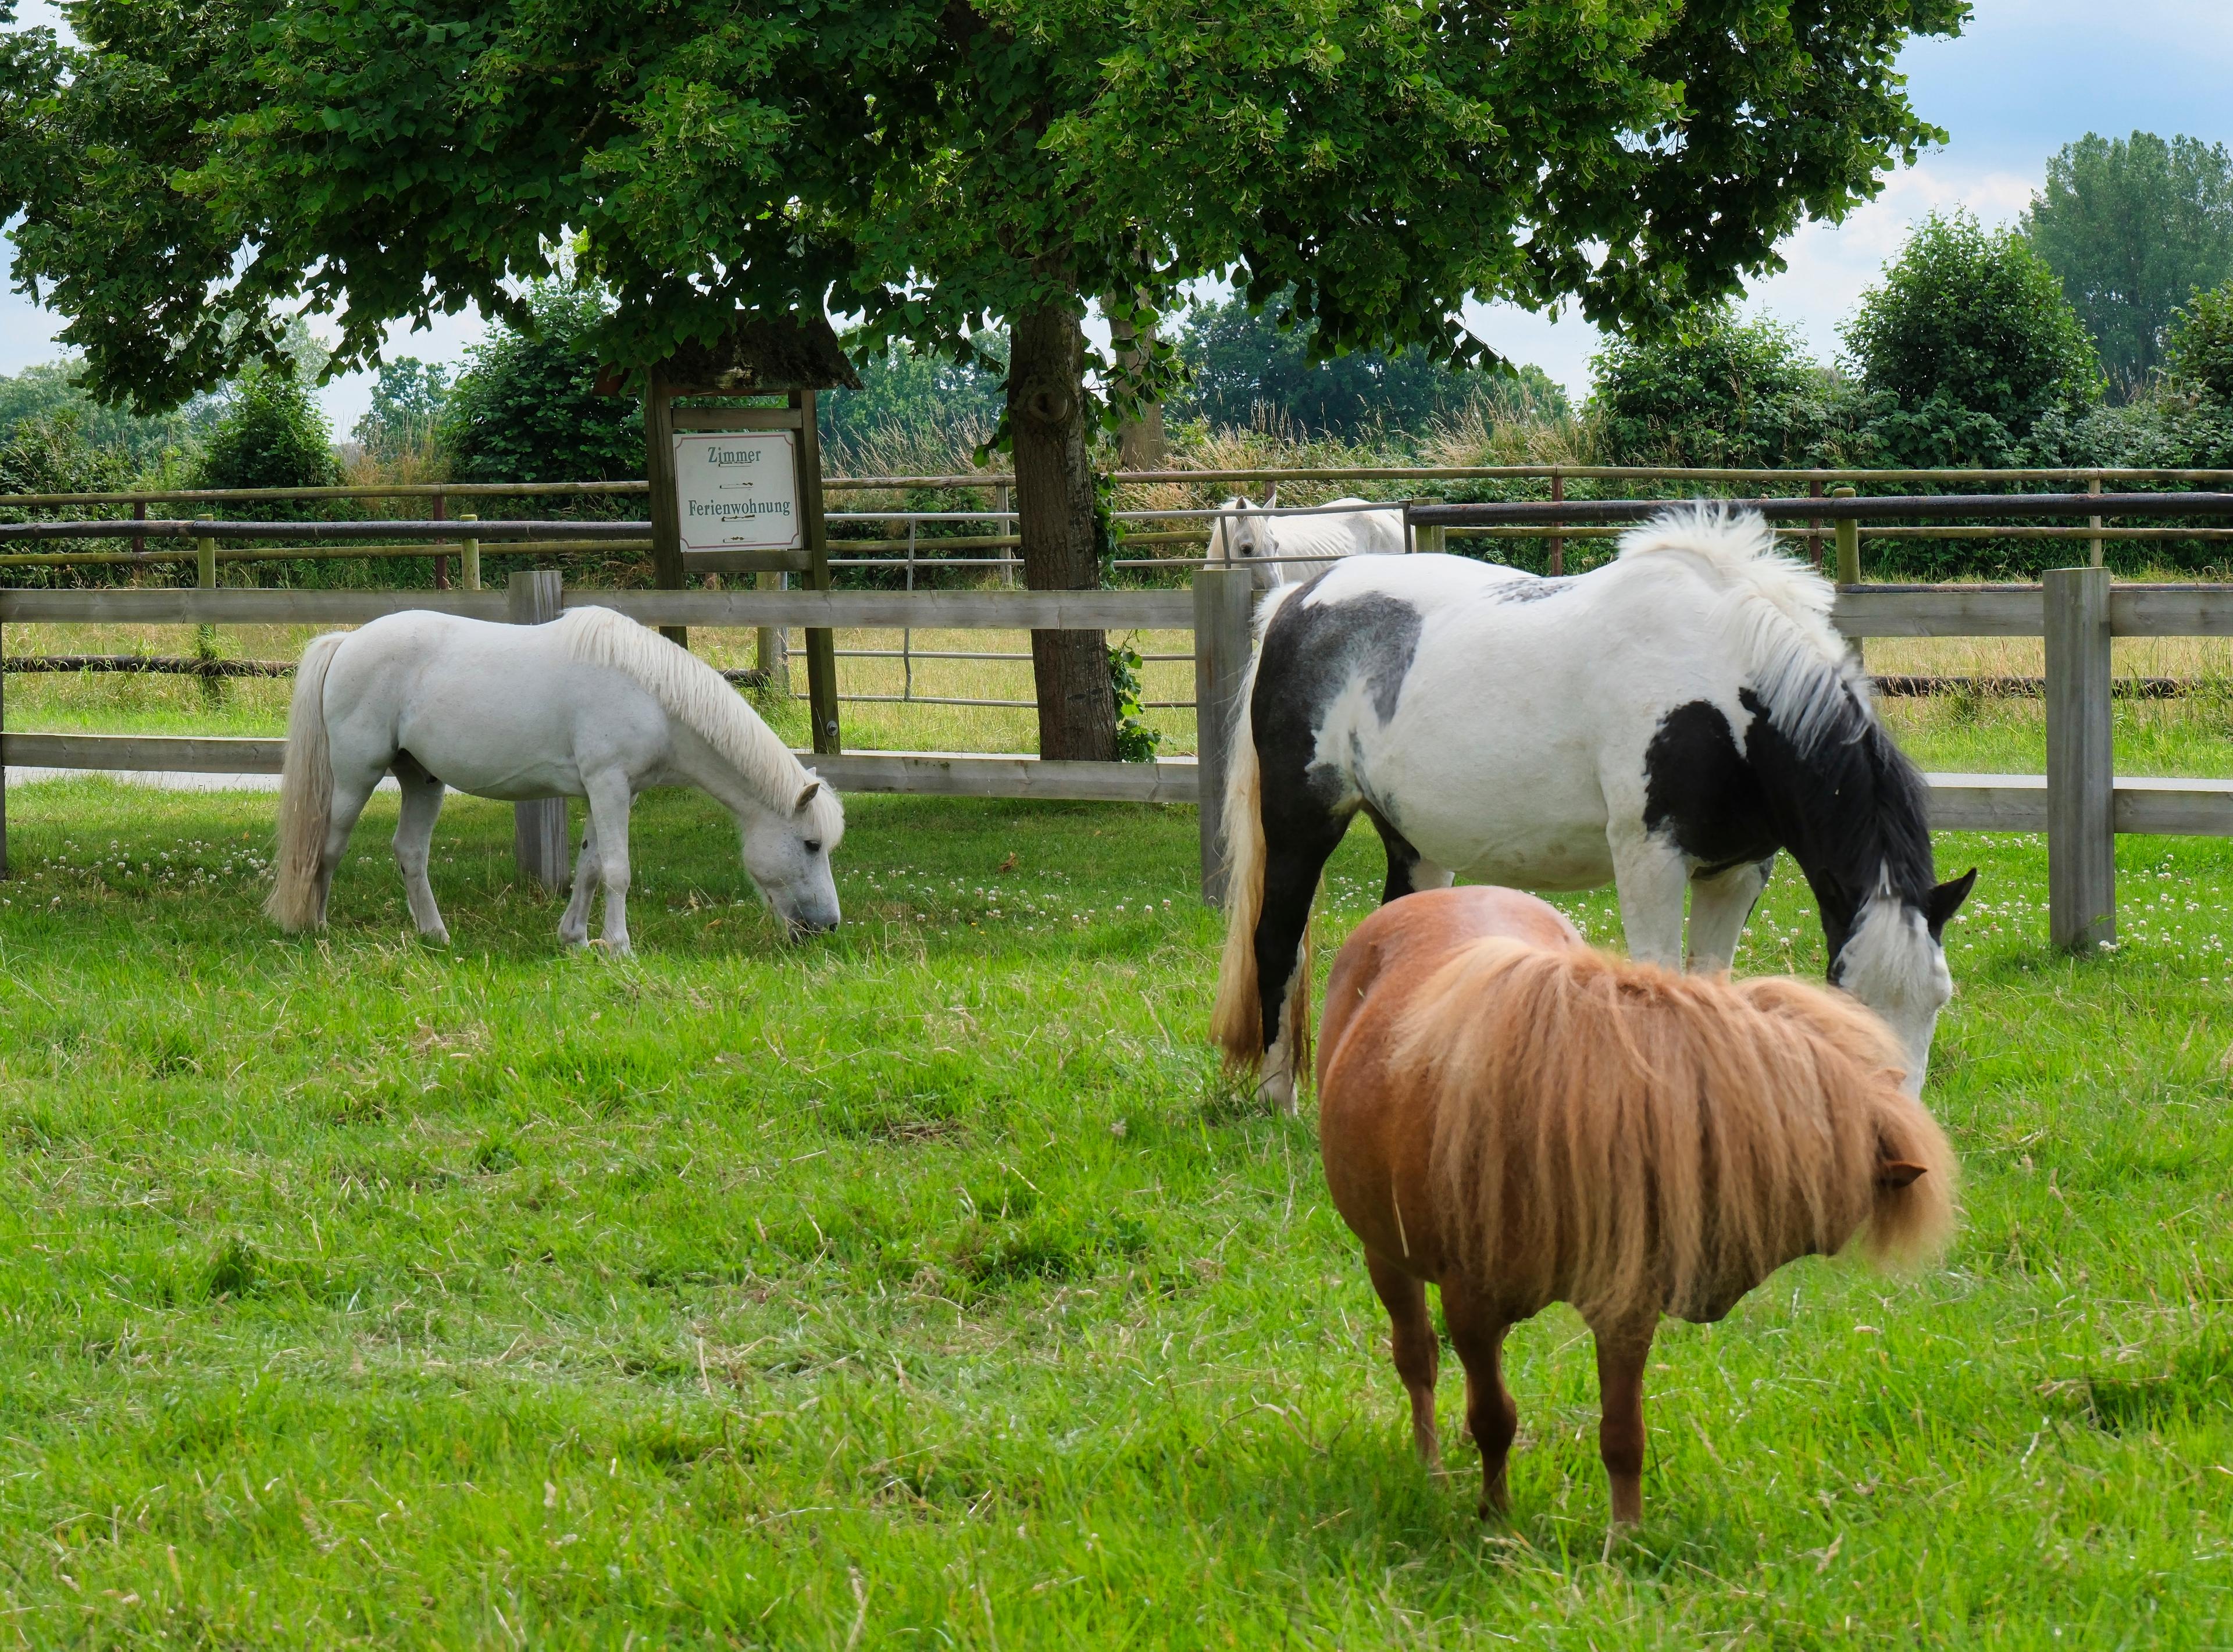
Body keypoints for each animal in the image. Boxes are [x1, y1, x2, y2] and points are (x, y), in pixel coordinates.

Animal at [267, 607, 844, 946]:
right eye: (811, 844)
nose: (828, 925)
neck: (651, 694)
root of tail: (346, 642)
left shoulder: (610, 792)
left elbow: (589, 866)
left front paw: (576, 939)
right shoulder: (609, 785)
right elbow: (616, 870)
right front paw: (619, 947)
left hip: (422, 781)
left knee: (410, 852)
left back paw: (435, 934)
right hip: (355, 778)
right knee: (327, 846)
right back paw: (315, 925)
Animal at [1223, 506, 1974, 1111]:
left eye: (1939, 999)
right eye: (1847, 995)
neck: (1725, 691)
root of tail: (1297, 600)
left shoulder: (1737, 872)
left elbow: (1711, 983)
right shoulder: (1650, 861)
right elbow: (1659, 983)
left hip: (1416, 846)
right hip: (1300, 824)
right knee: (1276, 939)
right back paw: (1279, 1100)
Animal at [1312, 884, 1965, 1527]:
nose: (1709, 1297)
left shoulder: (1625, 1310)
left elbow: (1623, 1433)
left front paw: (1625, 1536)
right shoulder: (1470, 1309)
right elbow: (1493, 1418)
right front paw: (1496, 1521)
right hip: (1386, 1258)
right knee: (1416, 1357)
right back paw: (1431, 1468)